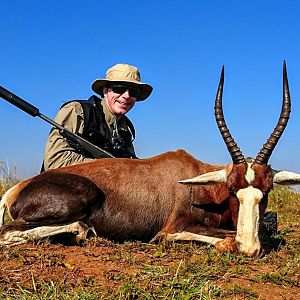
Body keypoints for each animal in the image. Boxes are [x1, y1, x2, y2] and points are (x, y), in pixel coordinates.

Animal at [0, 62, 300, 254]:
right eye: (232, 189)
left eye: (266, 191)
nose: (250, 248)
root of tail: (16, 190)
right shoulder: (172, 229)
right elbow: (223, 239)